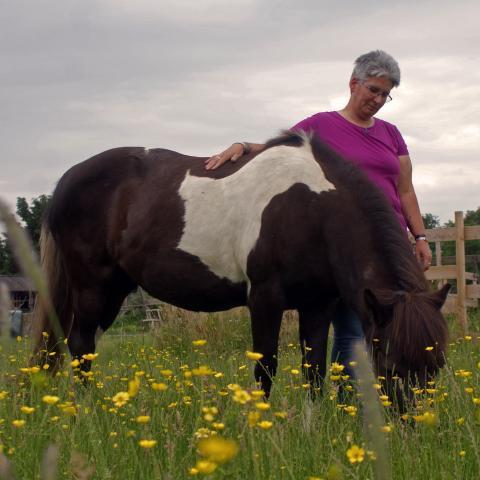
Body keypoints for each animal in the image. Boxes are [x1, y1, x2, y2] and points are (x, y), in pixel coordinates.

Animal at [34, 130, 450, 402]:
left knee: (85, 348)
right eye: (391, 365)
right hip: (92, 287)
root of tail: (66, 181)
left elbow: (314, 371)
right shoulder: (265, 299)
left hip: (114, 290)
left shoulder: (318, 304)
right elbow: (265, 369)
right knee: (80, 347)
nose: (413, 432)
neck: (313, 208)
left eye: (437, 366)